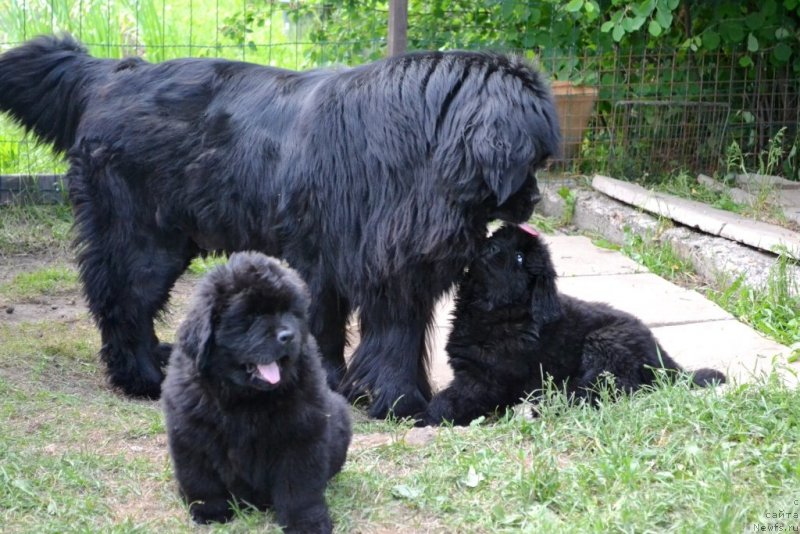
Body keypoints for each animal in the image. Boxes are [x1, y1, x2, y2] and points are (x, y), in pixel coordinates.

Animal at [0, 34, 560, 418]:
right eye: (533, 161)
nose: (535, 200)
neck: (426, 150)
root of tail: (111, 73)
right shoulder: (321, 259)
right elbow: (325, 327)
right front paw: (329, 387)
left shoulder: (398, 269)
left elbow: (396, 336)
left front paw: (394, 400)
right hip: (140, 236)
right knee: (123, 301)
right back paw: (141, 376)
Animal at [162, 252, 350, 532]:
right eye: (250, 316)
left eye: (289, 312)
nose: (288, 336)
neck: (245, 398)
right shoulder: (190, 432)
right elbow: (201, 479)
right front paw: (210, 511)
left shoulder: (301, 435)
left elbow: (299, 488)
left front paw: (306, 522)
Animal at [422, 225, 728, 428]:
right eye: (498, 237)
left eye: (519, 258)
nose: (490, 246)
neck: (499, 311)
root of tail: (664, 359)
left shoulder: (485, 379)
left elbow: (451, 399)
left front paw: (423, 416)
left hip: (604, 342)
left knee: (610, 389)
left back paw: (546, 404)